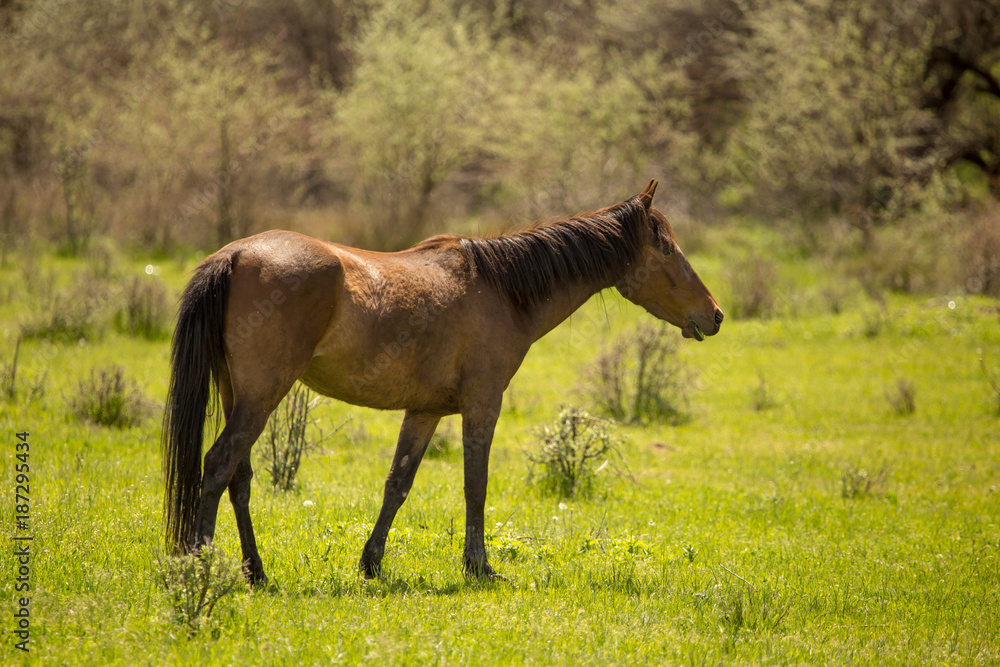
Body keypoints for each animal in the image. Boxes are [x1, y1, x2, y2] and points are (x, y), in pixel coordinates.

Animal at [162, 179, 723, 586]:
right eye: (666, 249)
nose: (714, 314)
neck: (502, 287)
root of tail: (235, 255)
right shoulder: (482, 404)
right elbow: (476, 484)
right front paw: (479, 566)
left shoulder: (425, 411)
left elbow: (397, 484)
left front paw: (371, 563)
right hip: (261, 397)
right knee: (218, 465)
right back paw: (202, 566)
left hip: (239, 396)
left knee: (238, 477)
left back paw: (256, 572)